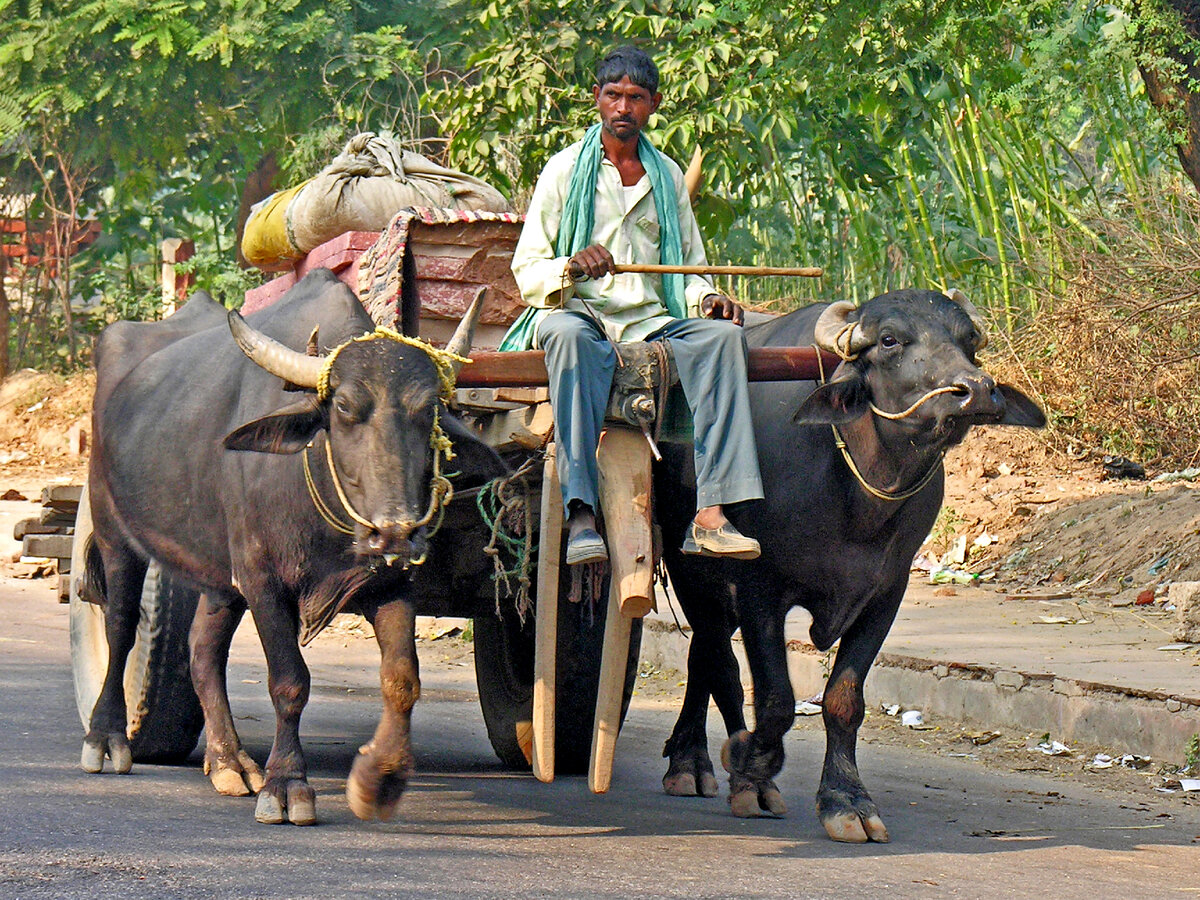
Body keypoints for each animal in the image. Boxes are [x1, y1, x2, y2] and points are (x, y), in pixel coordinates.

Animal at [79, 271, 501, 830]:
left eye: (429, 409)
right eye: (343, 407)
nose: (395, 531)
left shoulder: (390, 584)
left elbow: (402, 678)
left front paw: (380, 780)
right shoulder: (263, 581)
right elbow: (289, 682)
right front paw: (286, 786)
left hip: (220, 575)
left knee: (201, 652)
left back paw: (229, 761)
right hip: (113, 529)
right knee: (121, 626)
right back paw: (106, 739)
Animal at [652, 289, 1046, 844]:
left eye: (968, 339)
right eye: (890, 339)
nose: (975, 391)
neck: (857, 498)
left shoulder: (885, 593)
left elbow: (844, 699)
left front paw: (846, 800)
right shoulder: (758, 588)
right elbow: (775, 698)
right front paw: (753, 763)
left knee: (705, 658)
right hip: (690, 568)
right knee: (714, 659)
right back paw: (699, 764)